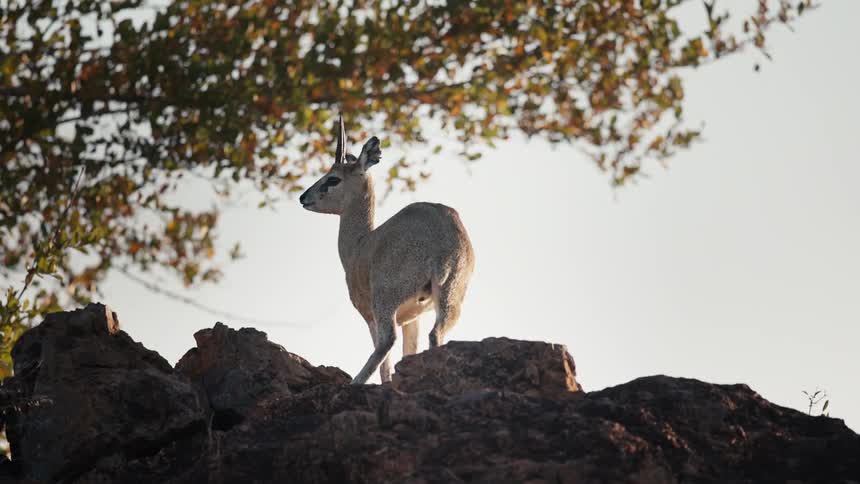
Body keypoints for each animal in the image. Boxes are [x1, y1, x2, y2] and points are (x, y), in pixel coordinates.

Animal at [299, 116, 475, 384]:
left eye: (333, 178)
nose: (303, 197)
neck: (361, 244)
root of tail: (443, 238)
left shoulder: (370, 313)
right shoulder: (413, 317)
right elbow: (409, 349)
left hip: (386, 299)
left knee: (387, 341)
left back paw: (356, 382)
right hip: (450, 296)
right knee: (436, 335)